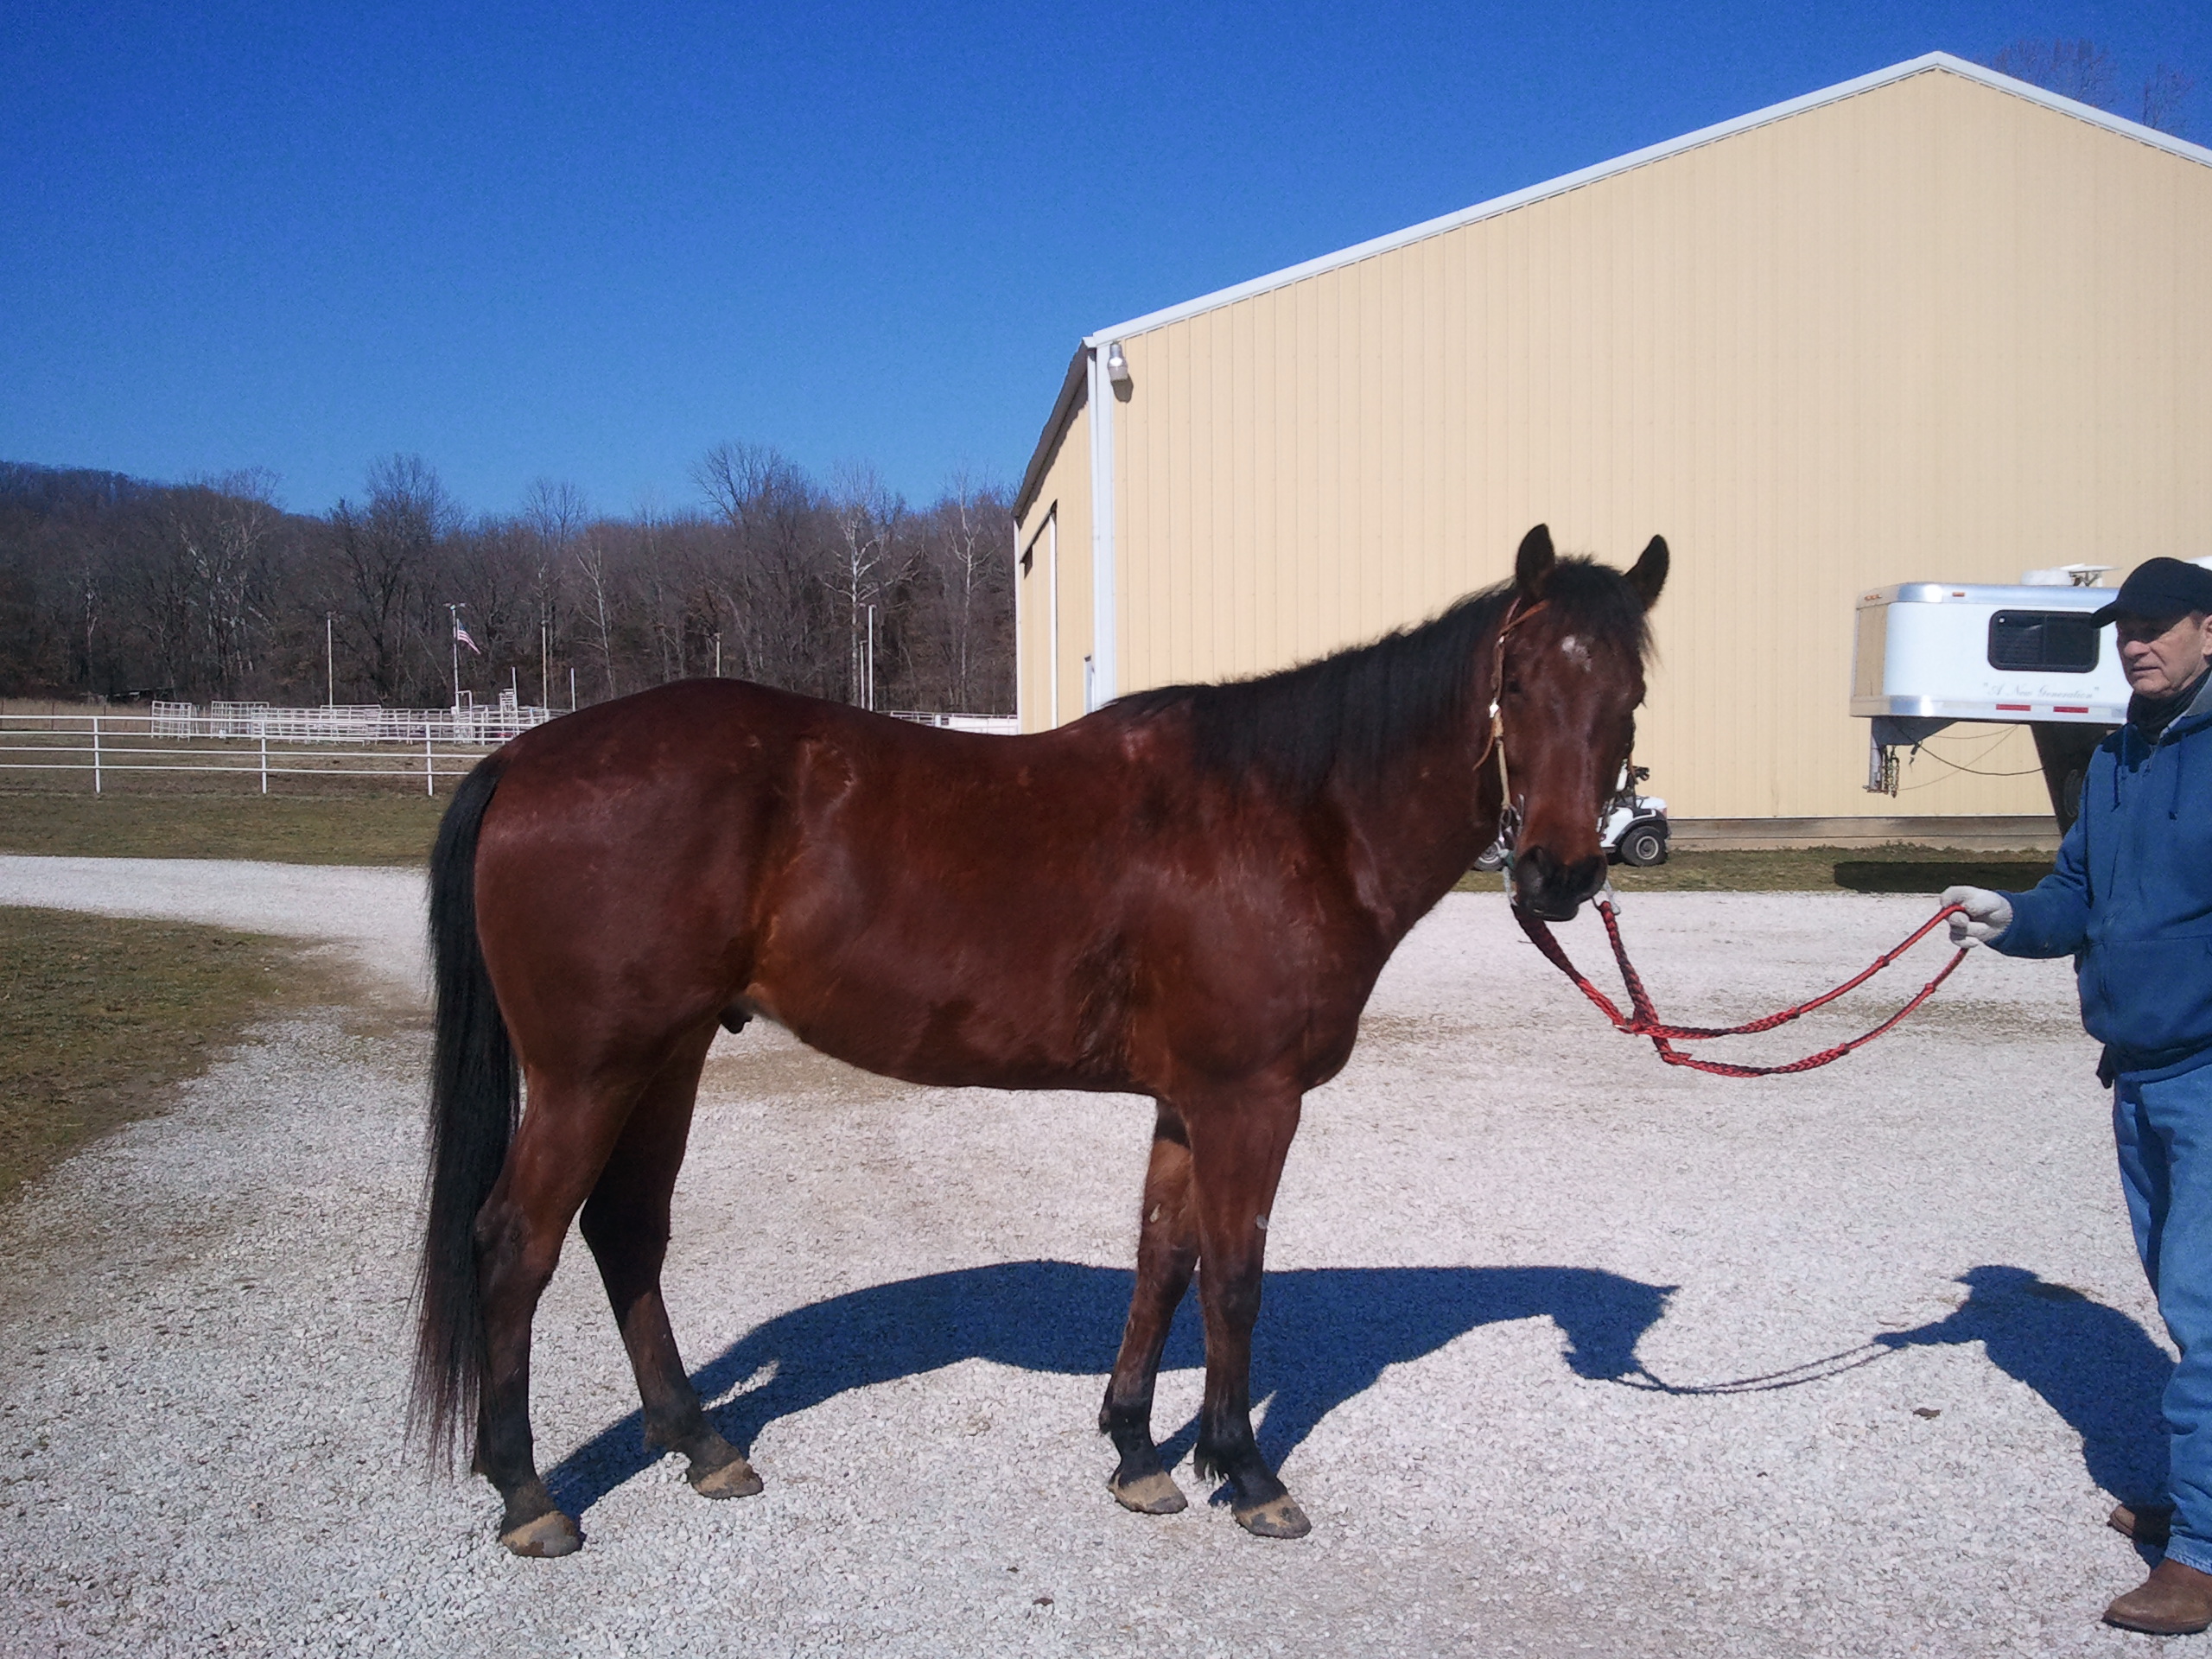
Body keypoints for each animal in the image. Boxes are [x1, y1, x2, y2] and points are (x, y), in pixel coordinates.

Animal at [412, 521, 1668, 1556]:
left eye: (1631, 691)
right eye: (1515, 680)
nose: (1560, 875)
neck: (1289, 813)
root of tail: (522, 758)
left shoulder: (1188, 1103)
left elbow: (1164, 1263)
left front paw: (1138, 1454)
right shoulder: (1250, 1100)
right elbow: (1236, 1280)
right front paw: (1245, 1471)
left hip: (665, 1059)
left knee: (624, 1231)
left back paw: (701, 1445)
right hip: (589, 1072)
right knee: (515, 1245)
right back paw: (529, 1496)